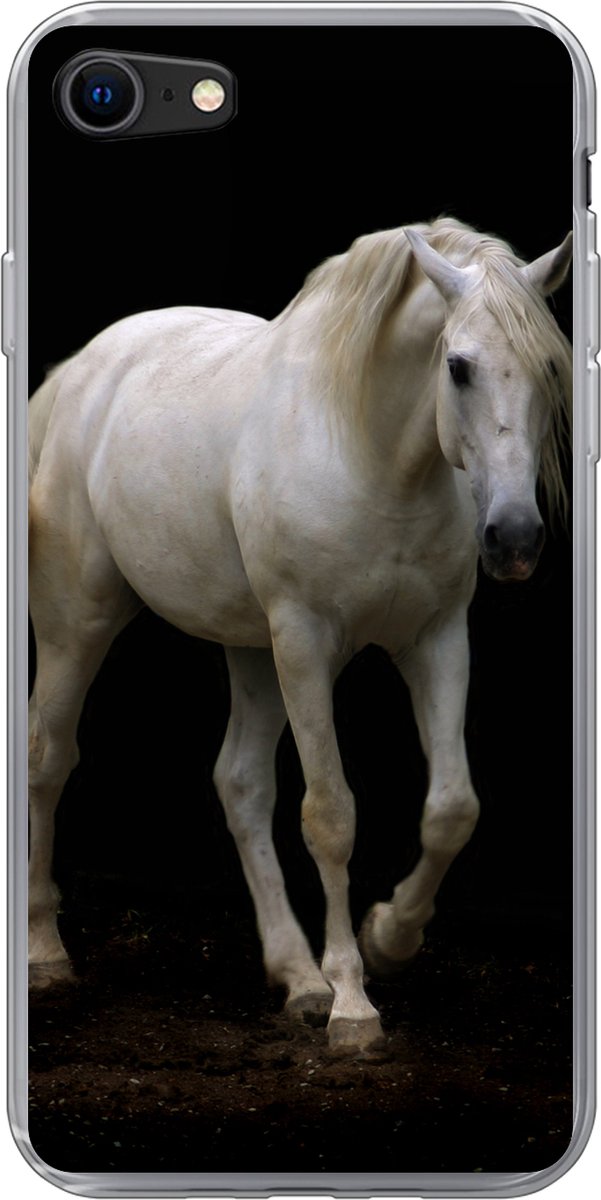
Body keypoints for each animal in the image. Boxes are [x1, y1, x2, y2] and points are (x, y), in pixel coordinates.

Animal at [28, 217, 572, 1057]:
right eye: (457, 366)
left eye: (549, 367)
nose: (512, 539)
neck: (370, 451)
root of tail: (77, 375)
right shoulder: (307, 643)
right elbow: (331, 816)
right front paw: (353, 1003)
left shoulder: (436, 641)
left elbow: (452, 806)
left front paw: (388, 939)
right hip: (79, 625)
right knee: (48, 758)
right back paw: (44, 952)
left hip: (251, 650)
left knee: (241, 783)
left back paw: (295, 975)